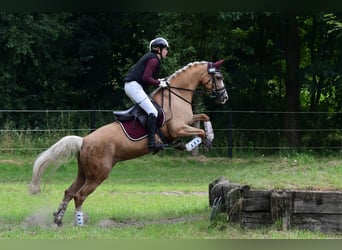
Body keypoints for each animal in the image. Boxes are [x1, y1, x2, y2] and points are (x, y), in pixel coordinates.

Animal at [28, 60, 227, 227]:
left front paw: (205, 136)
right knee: (79, 196)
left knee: (69, 192)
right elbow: (199, 132)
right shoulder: (178, 128)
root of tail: (84, 140)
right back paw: (79, 224)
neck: (178, 94)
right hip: (98, 175)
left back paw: (58, 219)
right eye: (218, 77)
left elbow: (204, 116)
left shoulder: (186, 122)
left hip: (85, 173)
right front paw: (201, 141)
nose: (224, 98)